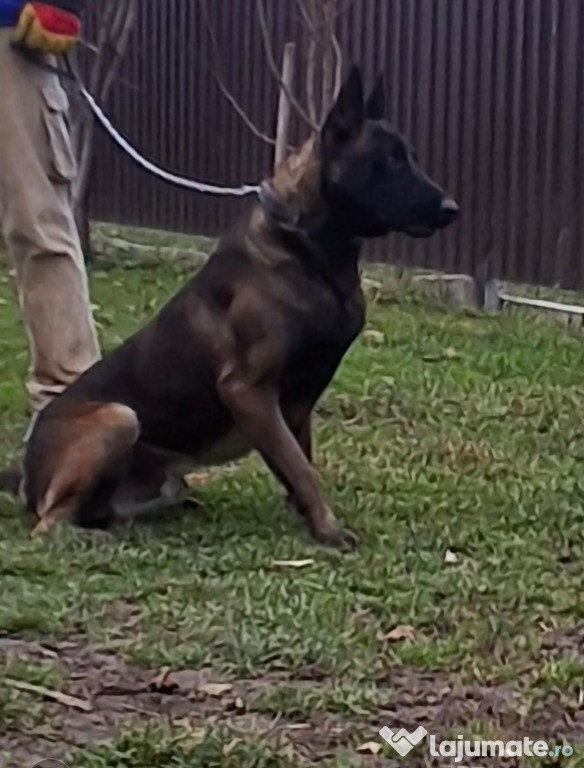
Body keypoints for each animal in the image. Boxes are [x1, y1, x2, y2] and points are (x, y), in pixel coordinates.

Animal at [16, 66, 459, 548]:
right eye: (391, 160)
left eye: (409, 156)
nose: (451, 208)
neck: (306, 246)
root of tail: (25, 476)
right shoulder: (249, 390)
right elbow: (301, 467)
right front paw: (327, 529)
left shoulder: (297, 402)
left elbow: (298, 463)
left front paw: (306, 518)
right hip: (119, 417)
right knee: (48, 523)